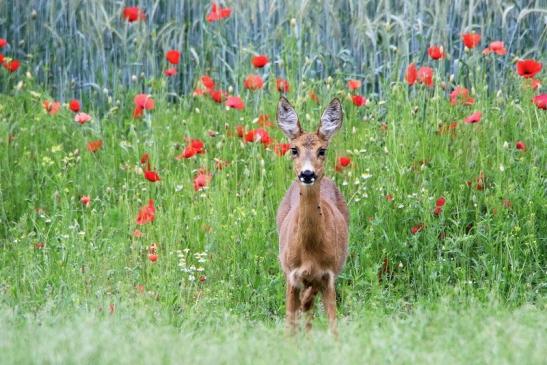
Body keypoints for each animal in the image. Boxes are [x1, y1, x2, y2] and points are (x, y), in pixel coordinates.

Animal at [276, 95, 348, 334]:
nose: (307, 174)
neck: (309, 250)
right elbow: (289, 324)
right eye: (293, 149)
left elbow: (333, 324)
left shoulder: (329, 274)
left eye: (322, 150)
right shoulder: (291, 274)